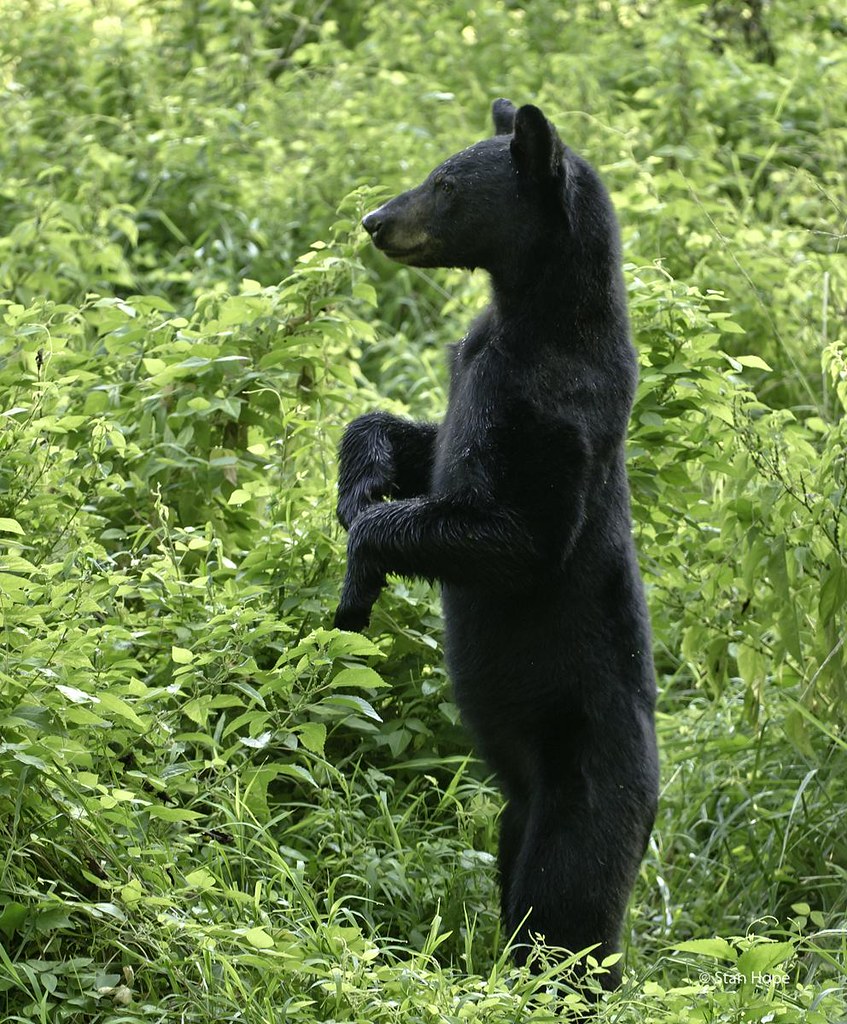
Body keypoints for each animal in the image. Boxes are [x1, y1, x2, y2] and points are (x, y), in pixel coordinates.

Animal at [334, 99, 659, 990]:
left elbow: (520, 535)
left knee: (566, 911)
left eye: (445, 186)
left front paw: (358, 579)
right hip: (514, 809)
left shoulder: (556, 411)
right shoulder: (469, 370)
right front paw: (357, 483)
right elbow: (417, 438)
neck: (528, 315)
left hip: (586, 785)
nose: (375, 221)